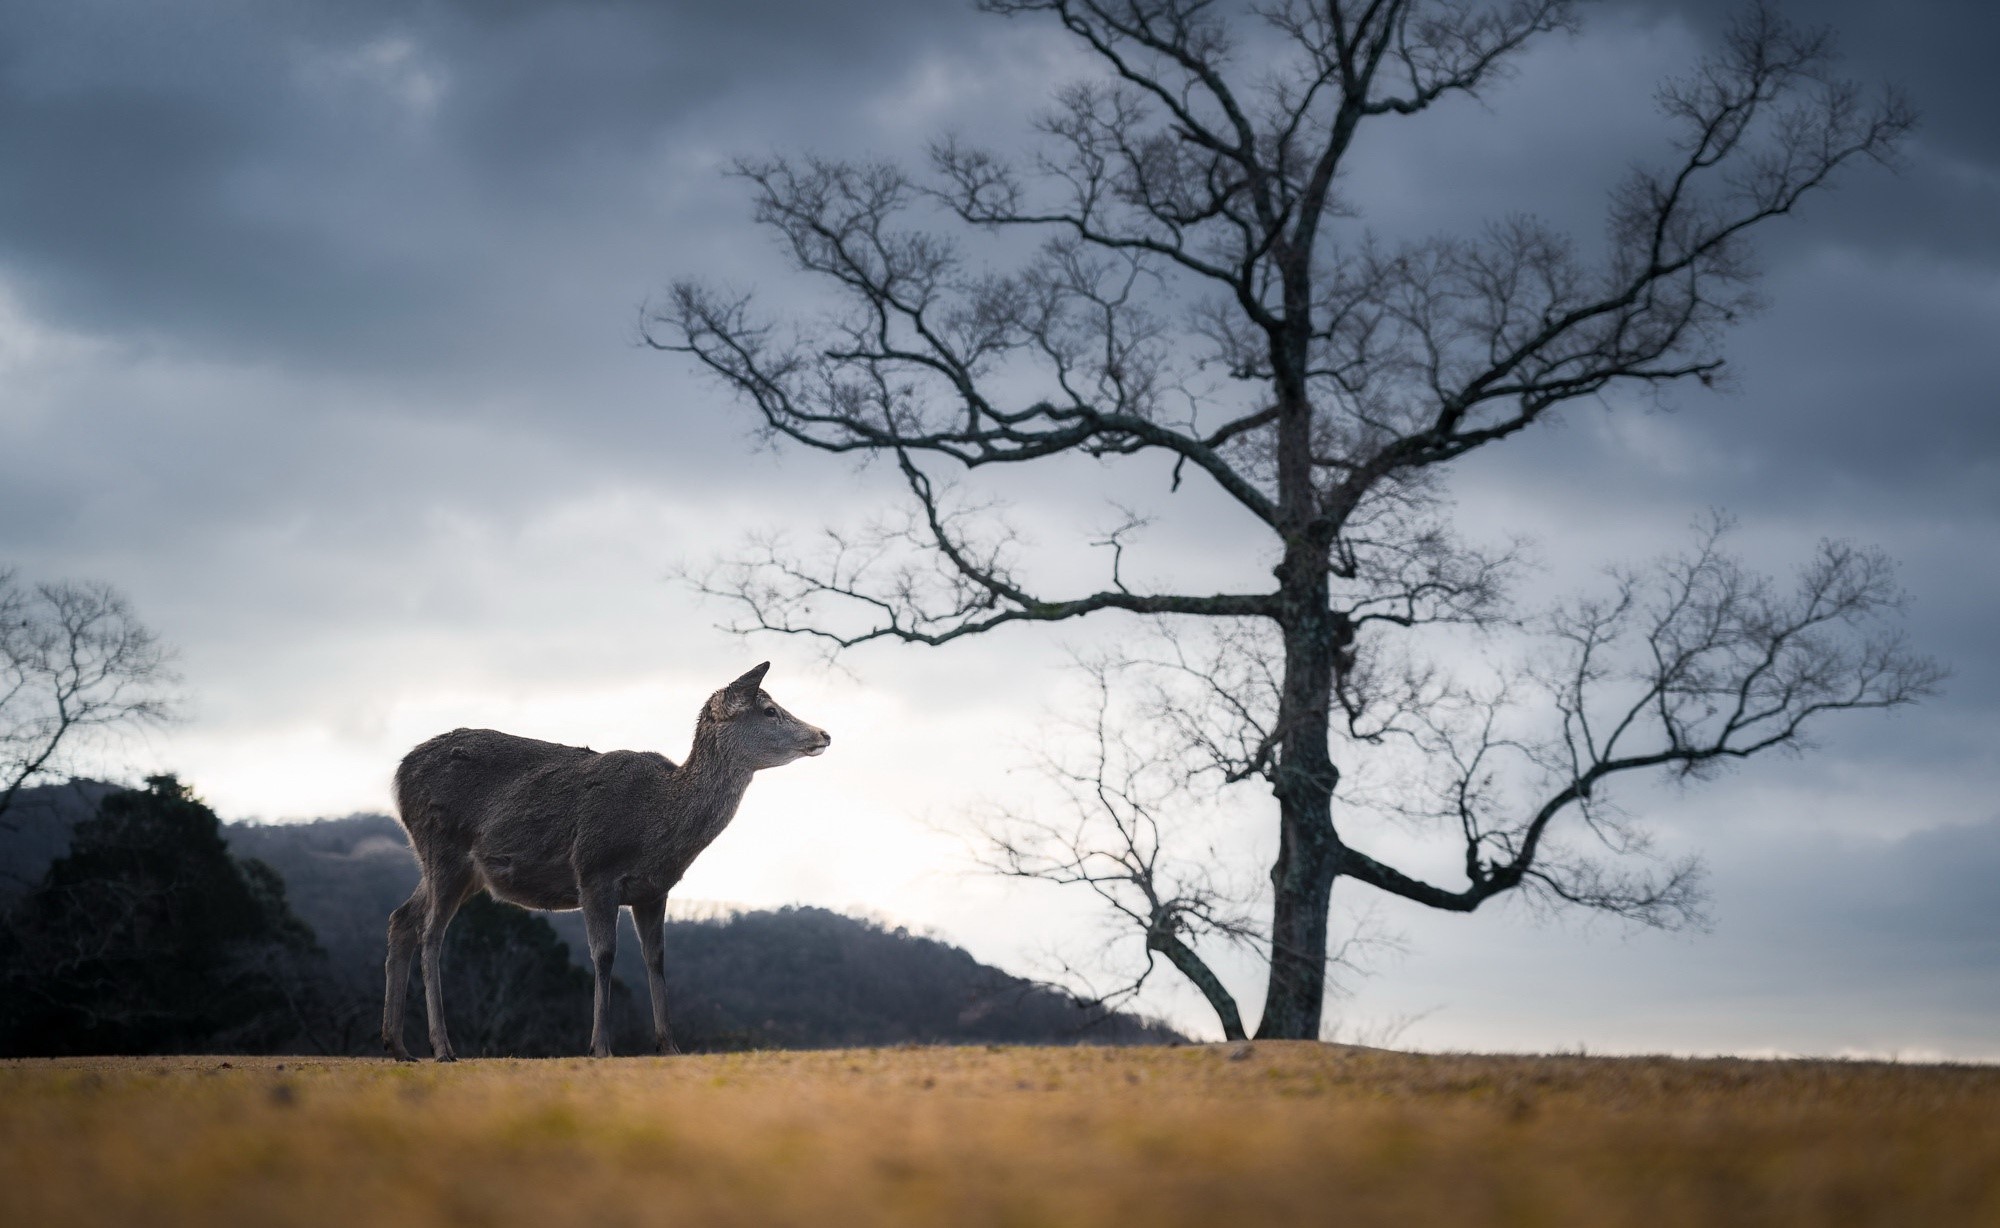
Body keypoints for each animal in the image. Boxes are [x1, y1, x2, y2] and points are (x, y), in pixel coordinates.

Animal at [381, 662, 830, 1061]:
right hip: (442, 846)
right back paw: (442, 1048)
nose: (824, 733)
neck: (659, 823)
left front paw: (669, 1045)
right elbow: (605, 954)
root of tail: (398, 775)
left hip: (461, 871)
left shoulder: (654, 890)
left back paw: (398, 1047)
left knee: (402, 918)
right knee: (431, 934)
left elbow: (656, 958)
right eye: (769, 710)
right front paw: (600, 1045)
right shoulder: (595, 871)